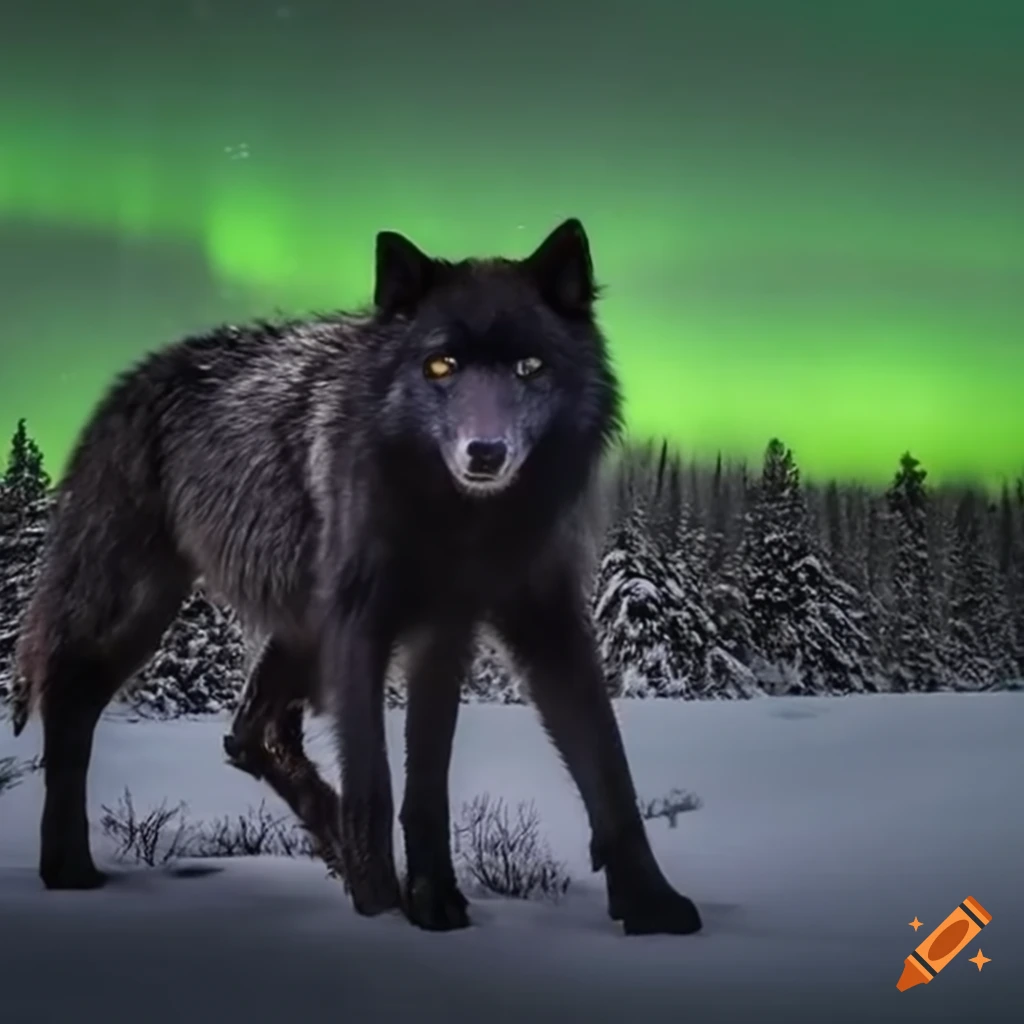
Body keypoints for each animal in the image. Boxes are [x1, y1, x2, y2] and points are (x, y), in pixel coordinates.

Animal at [13, 219, 701, 935]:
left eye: (529, 367)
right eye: (440, 366)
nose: (485, 454)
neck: (464, 523)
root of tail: (126, 380)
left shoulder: (509, 625)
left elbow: (595, 766)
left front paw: (648, 903)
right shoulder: (363, 625)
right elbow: (376, 781)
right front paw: (383, 905)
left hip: (299, 632)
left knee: (249, 733)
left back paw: (330, 835)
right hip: (145, 609)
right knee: (72, 699)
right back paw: (69, 868)